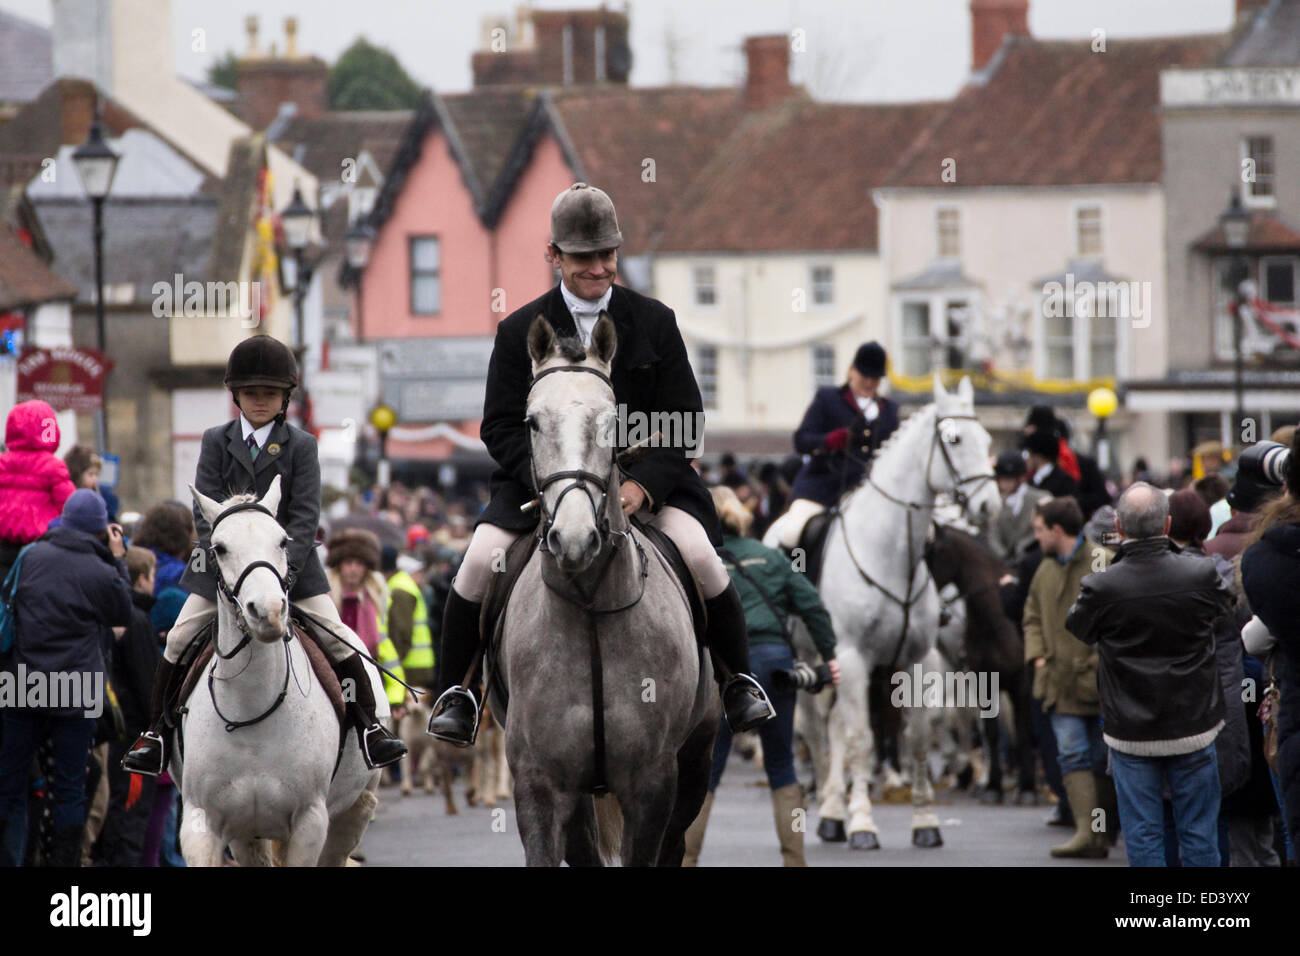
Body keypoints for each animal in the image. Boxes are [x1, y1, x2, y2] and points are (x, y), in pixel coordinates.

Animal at [171, 478, 379, 868]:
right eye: (219, 548)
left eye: (283, 541)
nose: (267, 611)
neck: (252, 706)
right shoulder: (202, 821)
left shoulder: (311, 822)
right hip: (247, 834)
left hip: (352, 812)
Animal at [491, 314, 728, 868]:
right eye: (532, 422)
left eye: (610, 423)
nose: (574, 539)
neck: (589, 609)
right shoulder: (539, 782)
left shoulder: (653, 781)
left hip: (696, 759)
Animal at [816, 377, 998, 848]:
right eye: (954, 439)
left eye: (988, 439)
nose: (989, 507)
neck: (890, 555)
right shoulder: (852, 659)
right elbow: (862, 738)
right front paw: (862, 822)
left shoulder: (914, 661)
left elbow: (916, 737)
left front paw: (925, 821)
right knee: (829, 728)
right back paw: (833, 810)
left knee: (837, 725)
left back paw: (832, 813)